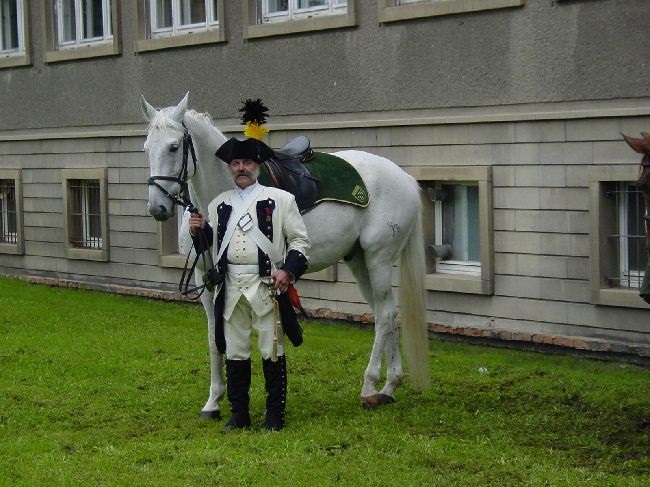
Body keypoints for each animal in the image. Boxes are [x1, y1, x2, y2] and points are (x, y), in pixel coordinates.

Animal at [140, 93, 431, 418]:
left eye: (174, 146)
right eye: (146, 148)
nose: (158, 208)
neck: (224, 199)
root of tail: (404, 178)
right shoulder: (208, 281)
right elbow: (216, 340)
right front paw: (213, 401)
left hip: (378, 258)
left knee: (384, 317)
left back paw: (369, 387)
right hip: (359, 261)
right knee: (388, 313)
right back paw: (389, 387)